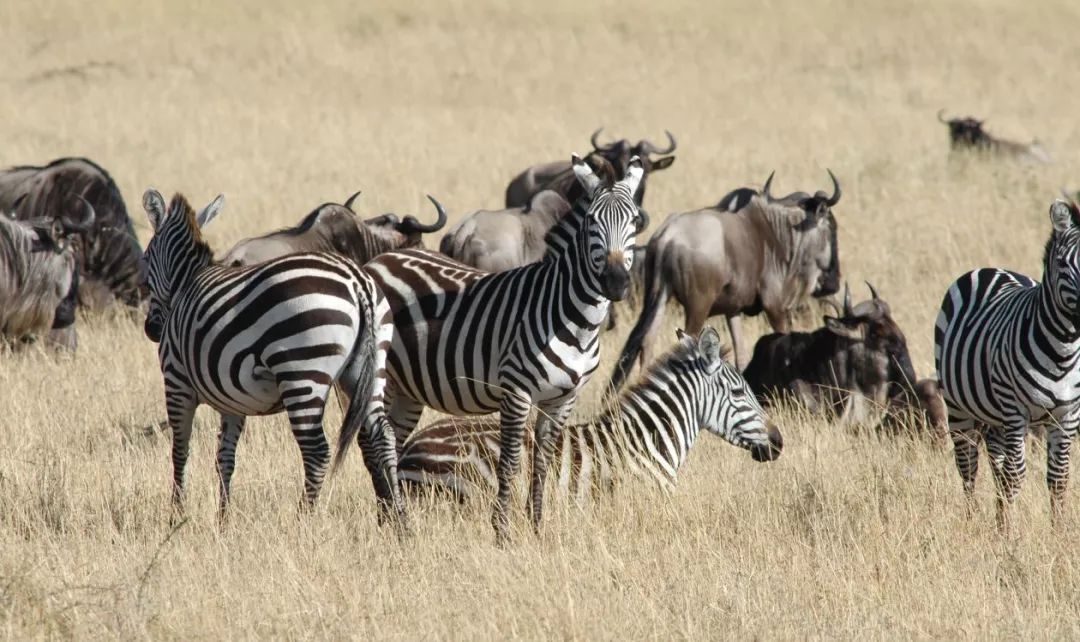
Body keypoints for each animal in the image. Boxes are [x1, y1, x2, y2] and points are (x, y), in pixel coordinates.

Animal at [137, 186, 403, 523]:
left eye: (145, 258)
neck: (185, 284)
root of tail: (358, 284)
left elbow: (179, 452)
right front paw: (223, 520)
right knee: (384, 436)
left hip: (302, 371)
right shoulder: (231, 400)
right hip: (371, 369)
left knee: (317, 451)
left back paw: (303, 519)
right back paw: (401, 518)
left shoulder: (176, 382)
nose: (151, 329)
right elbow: (224, 458)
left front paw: (177, 516)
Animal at [362, 154, 643, 540]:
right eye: (591, 222)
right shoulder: (516, 391)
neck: (572, 318)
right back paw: (395, 523)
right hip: (380, 375)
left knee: (390, 439)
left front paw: (537, 527)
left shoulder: (563, 398)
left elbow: (543, 460)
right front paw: (503, 531)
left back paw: (390, 519)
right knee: (373, 440)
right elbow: (509, 462)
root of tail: (379, 260)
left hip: (407, 387)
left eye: (635, 221)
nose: (616, 283)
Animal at [933, 197, 1080, 527]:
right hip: (959, 408)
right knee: (969, 466)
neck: (1063, 351)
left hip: (994, 415)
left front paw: (1058, 529)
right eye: (1063, 263)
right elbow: (1015, 474)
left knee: (995, 462)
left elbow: (1059, 477)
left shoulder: (1067, 415)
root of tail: (990, 268)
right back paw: (973, 520)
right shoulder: (1016, 410)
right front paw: (1008, 532)